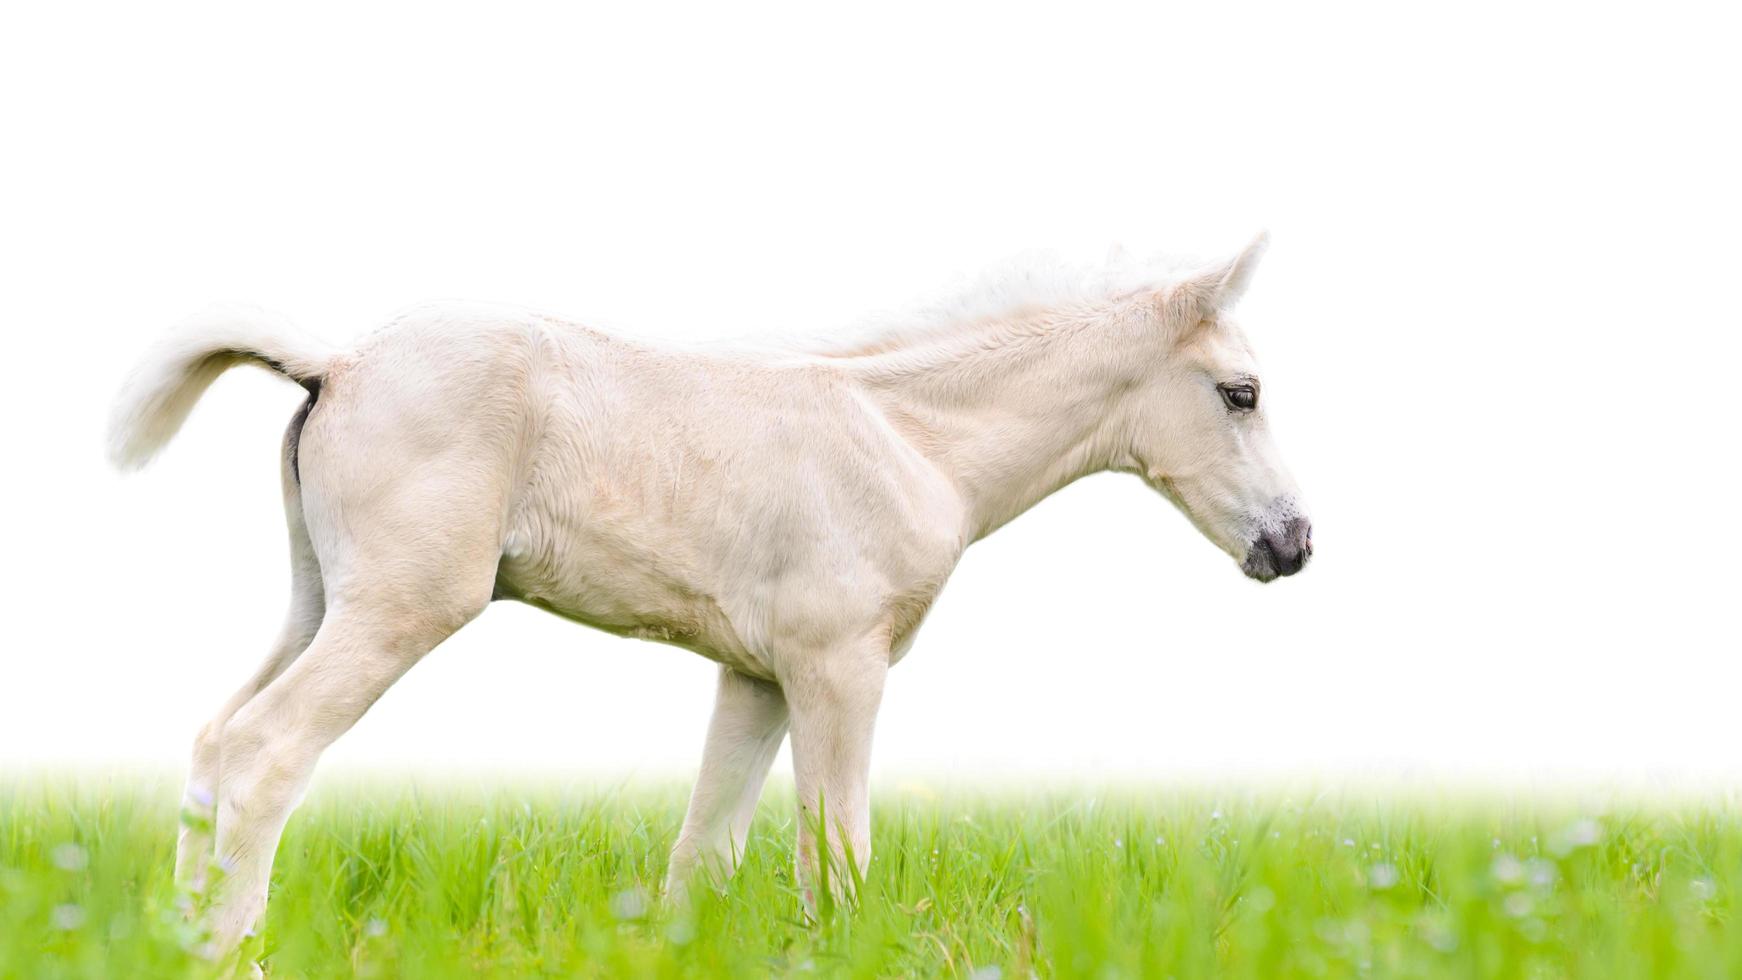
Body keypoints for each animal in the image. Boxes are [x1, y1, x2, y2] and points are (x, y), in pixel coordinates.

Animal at [108, 233, 1309, 953]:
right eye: (1240, 393)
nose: (1292, 543)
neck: (910, 440)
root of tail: (338, 364)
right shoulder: (838, 668)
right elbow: (836, 853)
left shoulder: (755, 676)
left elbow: (704, 852)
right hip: (401, 609)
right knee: (266, 751)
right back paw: (231, 952)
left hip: (320, 596)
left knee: (214, 745)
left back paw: (176, 939)